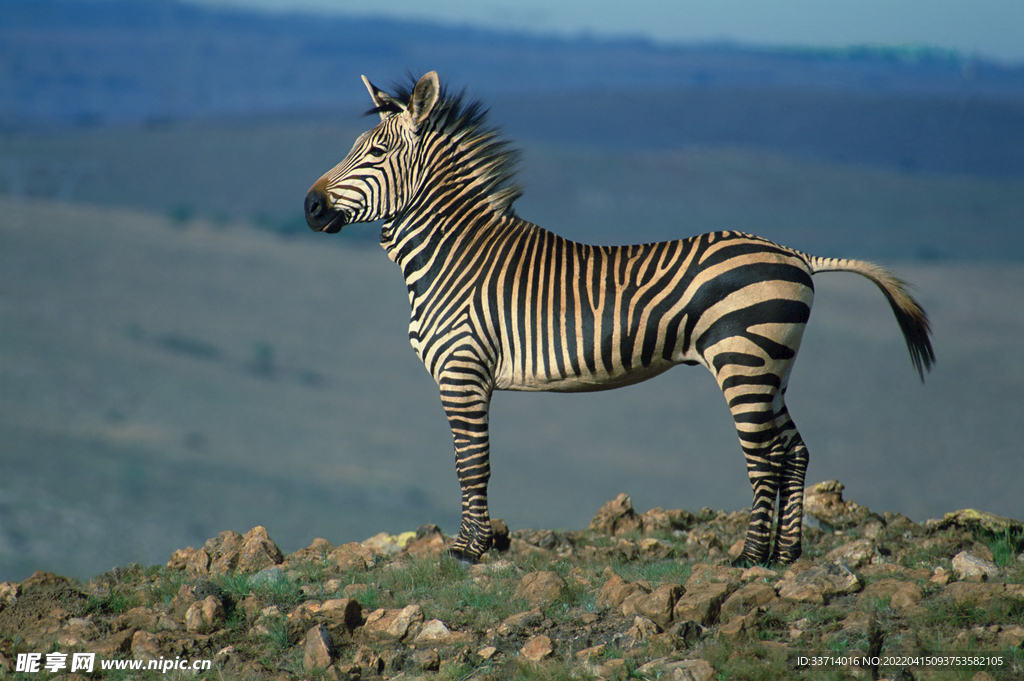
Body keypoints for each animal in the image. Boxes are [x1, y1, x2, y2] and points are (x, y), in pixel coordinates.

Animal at [299, 71, 933, 565]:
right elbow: (473, 463)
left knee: (765, 457)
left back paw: (751, 559)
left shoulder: (462, 371)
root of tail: (796, 254)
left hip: (742, 361)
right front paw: (473, 546)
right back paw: (787, 554)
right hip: (772, 365)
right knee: (794, 450)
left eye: (376, 153)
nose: (309, 206)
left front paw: (467, 552)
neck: (455, 254)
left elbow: (470, 464)